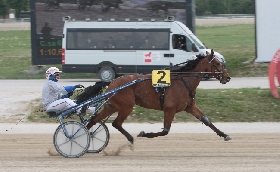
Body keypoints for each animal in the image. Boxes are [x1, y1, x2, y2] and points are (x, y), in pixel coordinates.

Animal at [76, 49, 232, 144]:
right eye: (217, 63)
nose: (227, 77)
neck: (184, 81)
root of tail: (112, 82)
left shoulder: (190, 107)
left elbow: (206, 121)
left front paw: (225, 135)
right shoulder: (169, 109)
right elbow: (165, 131)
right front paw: (145, 133)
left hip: (111, 106)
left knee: (93, 120)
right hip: (126, 106)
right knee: (116, 123)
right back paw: (131, 138)